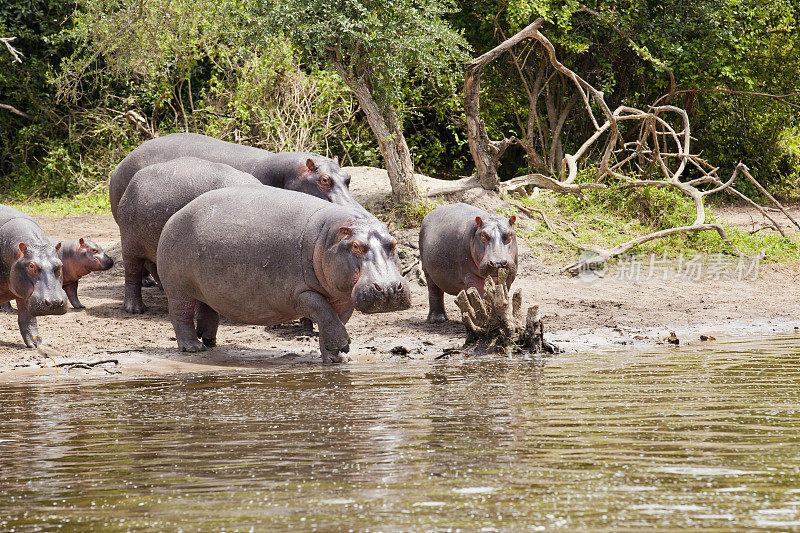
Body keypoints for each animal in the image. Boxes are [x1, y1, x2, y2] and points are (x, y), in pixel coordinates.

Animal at [0, 204, 68, 344]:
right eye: (31, 266)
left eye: (60, 265)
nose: (54, 302)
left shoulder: (25, 293)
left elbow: (27, 318)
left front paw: (37, 343)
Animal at [155, 186, 410, 362]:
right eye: (356, 246)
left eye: (393, 242)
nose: (388, 288)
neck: (327, 239)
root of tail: (176, 215)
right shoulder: (302, 293)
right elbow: (325, 314)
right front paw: (342, 346)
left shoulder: (344, 297)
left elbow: (333, 322)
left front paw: (337, 357)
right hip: (178, 288)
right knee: (180, 315)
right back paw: (193, 347)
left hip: (207, 288)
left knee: (208, 310)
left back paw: (210, 343)